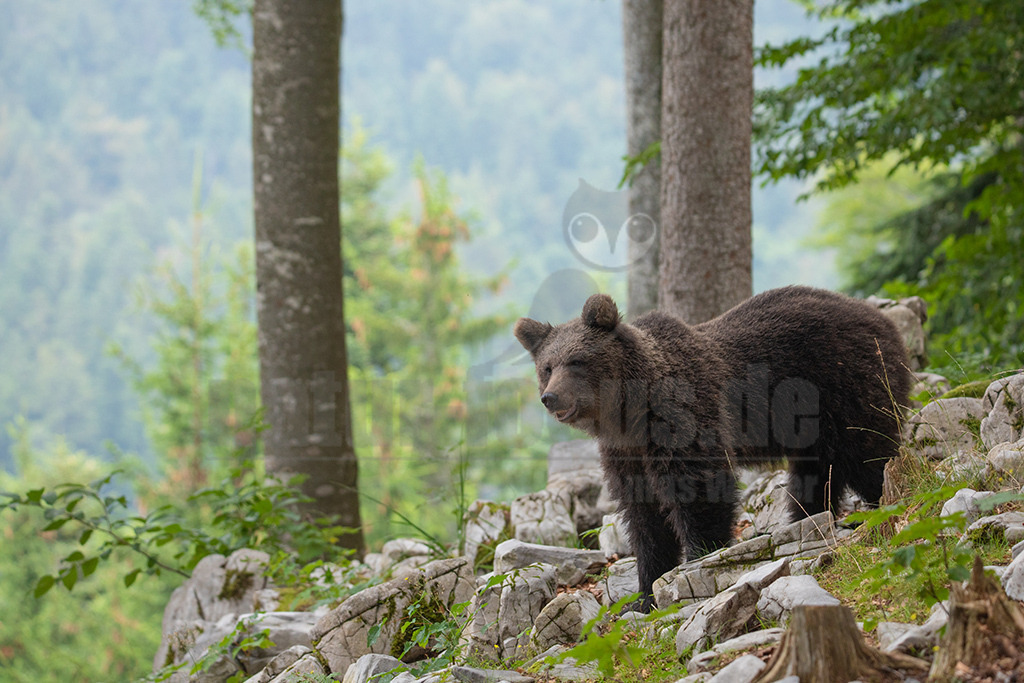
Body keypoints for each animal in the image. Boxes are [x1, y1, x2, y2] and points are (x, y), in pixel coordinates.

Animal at [514, 285, 911, 610]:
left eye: (576, 361)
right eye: (546, 367)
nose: (551, 397)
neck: (632, 415)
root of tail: (881, 320)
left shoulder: (684, 418)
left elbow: (700, 489)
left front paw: (700, 562)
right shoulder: (625, 453)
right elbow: (644, 518)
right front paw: (642, 596)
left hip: (845, 385)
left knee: (869, 454)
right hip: (814, 426)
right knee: (815, 474)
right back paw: (807, 519)